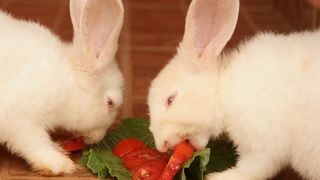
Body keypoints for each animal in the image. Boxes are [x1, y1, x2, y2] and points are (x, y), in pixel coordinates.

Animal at [0, 0, 124, 176]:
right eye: (110, 102)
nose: (97, 137)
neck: (68, 81)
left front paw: (59, 150)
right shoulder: (18, 119)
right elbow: (36, 142)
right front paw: (60, 164)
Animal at [149, 0, 320, 180]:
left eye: (170, 100)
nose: (162, 145)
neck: (223, 90)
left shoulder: (264, 144)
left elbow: (251, 170)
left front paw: (215, 177)